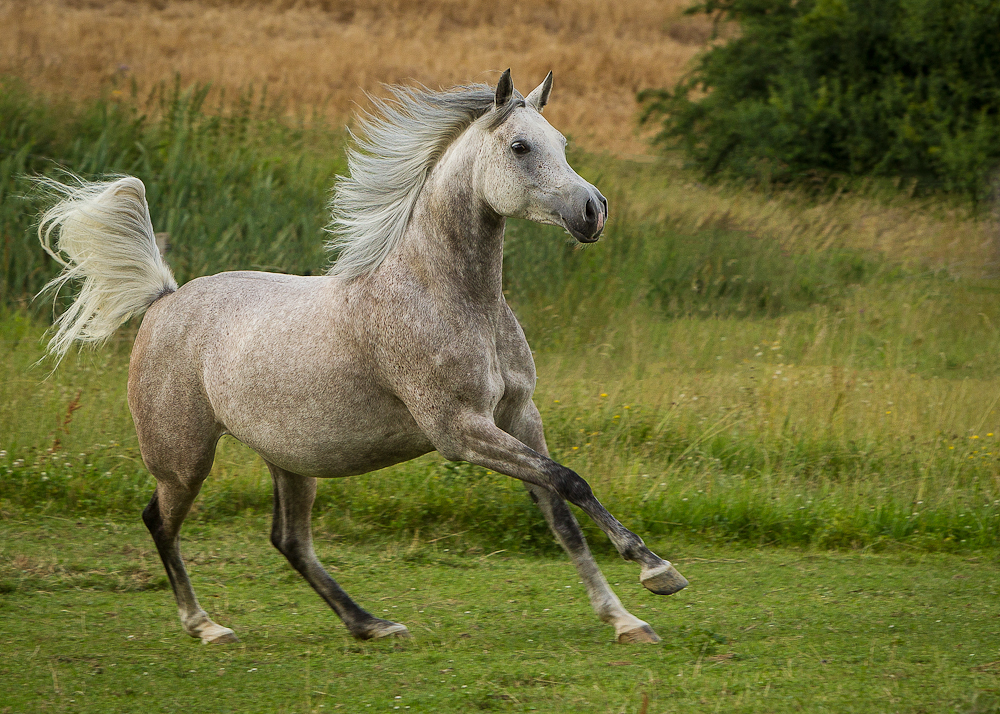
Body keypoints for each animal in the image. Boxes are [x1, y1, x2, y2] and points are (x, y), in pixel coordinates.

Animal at [35, 72, 684, 644]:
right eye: (520, 146)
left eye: (562, 142)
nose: (593, 211)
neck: (442, 294)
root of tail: (164, 299)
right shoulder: (460, 431)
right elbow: (570, 481)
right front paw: (656, 571)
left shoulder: (521, 417)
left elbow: (562, 511)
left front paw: (626, 618)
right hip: (183, 458)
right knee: (161, 522)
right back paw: (207, 626)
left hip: (291, 459)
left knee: (290, 540)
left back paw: (369, 624)